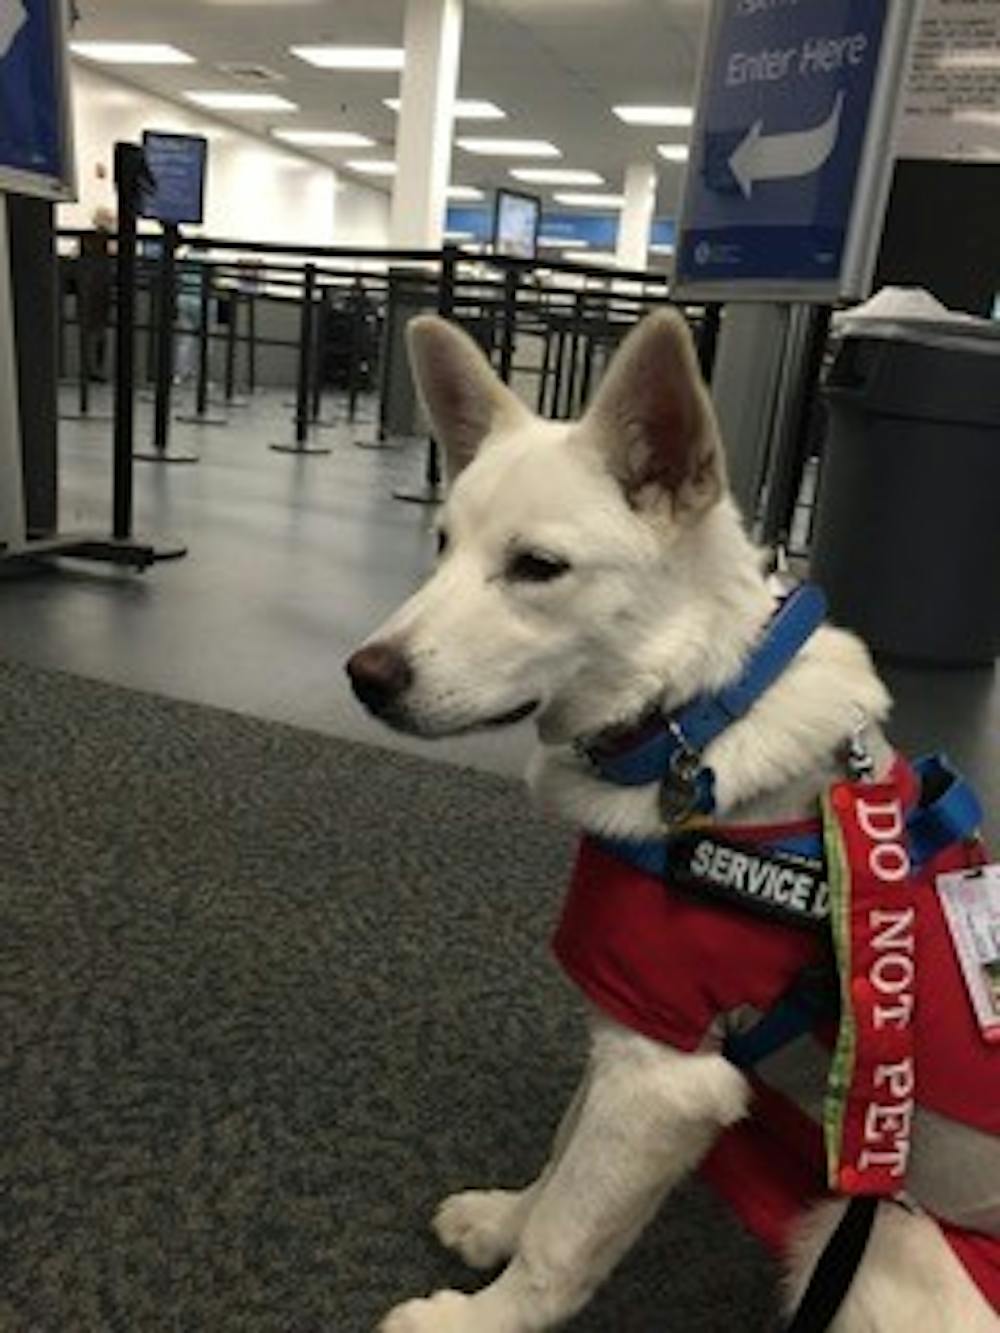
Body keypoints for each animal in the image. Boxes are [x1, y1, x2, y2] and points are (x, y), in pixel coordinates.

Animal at [346, 306, 1000, 1327]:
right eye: (443, 542)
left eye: (538, 567)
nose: (364, 677)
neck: (696, 713)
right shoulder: (638, 1025)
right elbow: (564, 1165)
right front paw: (502, 1220)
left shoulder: (666, 1079)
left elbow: (564, 1241)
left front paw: (479, 1316)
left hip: (867, 1241)